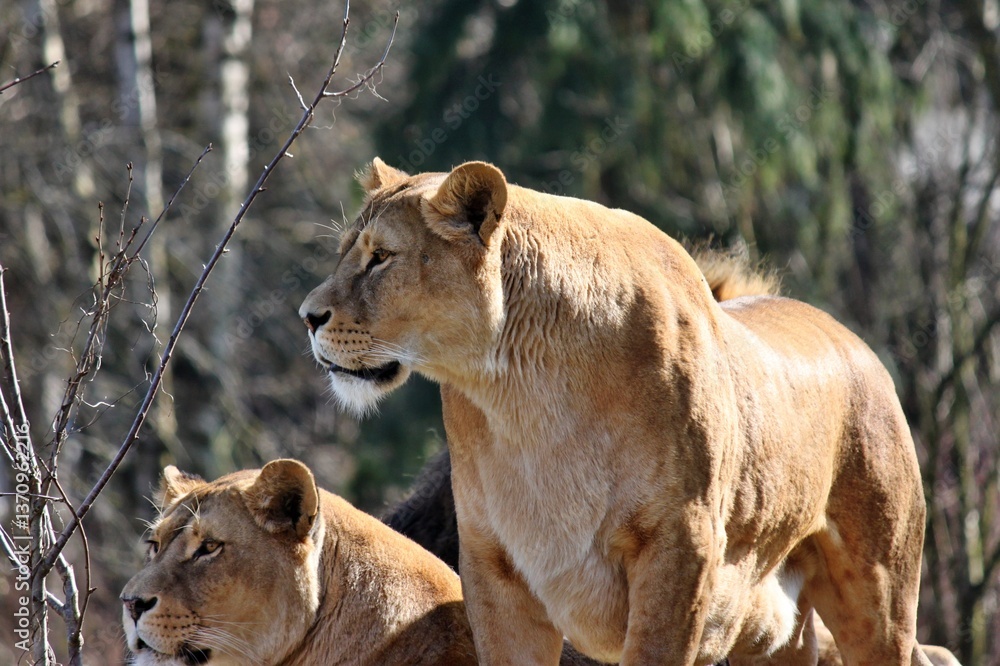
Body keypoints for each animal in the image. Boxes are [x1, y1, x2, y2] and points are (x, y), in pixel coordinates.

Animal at [299, 158, 933, 666]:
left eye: (381, 258)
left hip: (878, 598)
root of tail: (854, 341)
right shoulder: (492, 564)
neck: (523, 394)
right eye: (345, 253)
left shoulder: (680, 552)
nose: (307, 316)